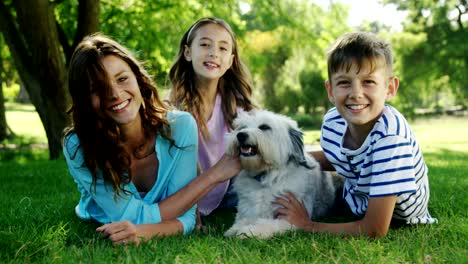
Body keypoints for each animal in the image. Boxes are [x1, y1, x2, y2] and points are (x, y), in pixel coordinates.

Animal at [225, 110, 342, 239]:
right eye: (242, 127)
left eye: (264, 127)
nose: (240, 135)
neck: (266, 178)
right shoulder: (247, 211)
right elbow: (243, 219)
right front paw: (235, 228)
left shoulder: (288, 218)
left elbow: (266, 224)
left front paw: (249, 231)